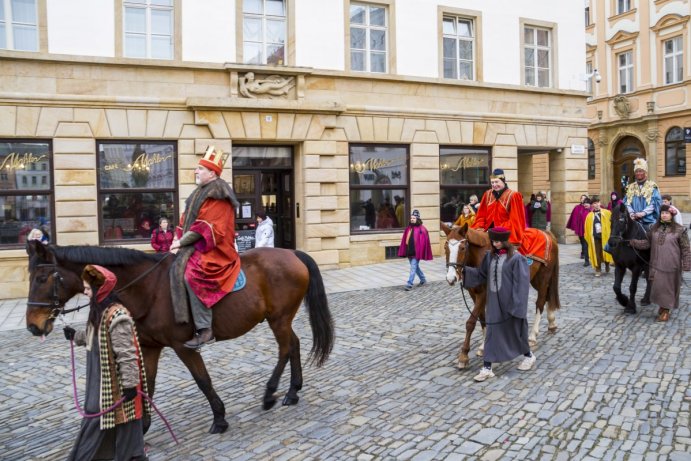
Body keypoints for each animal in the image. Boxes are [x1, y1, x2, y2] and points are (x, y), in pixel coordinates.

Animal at [28, 241, 336, 434]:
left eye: (42, 279)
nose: (33, 325)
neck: (148, 288)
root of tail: (293, 253)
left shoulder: (183, 346)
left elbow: (202, 380)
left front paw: (220, 418)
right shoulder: (150, 347)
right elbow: (147, 384)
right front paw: (143, 426)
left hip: (279, 319)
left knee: (285, 348)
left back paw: (271, 394)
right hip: (280, 319)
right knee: (293, 345)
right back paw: (292, 391)